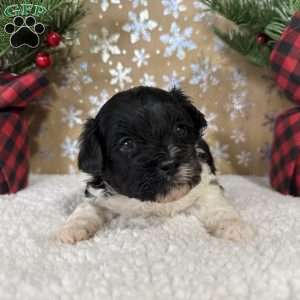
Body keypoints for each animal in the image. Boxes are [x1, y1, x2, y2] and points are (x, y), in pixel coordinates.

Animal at [57, 86, 254, 244]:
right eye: (127, 144)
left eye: (180, 129)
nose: (170, 164)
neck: (155, 202)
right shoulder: (99, 194)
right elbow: (86, 208)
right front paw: (72, 228)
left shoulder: (206, 185)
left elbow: (219, 207)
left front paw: (234, 227)